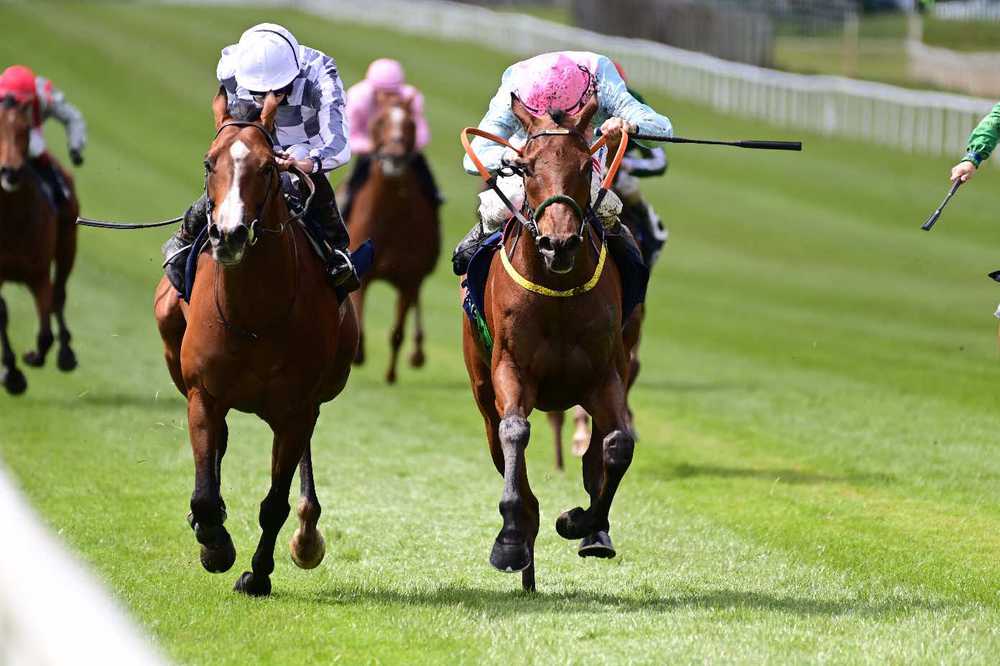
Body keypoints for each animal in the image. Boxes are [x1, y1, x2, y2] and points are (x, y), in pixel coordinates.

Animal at [0, 93, 78, 394]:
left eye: (24, 130)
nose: (10, 172)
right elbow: (2, 313)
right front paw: (12, 374)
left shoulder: (38, 273)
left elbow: (46, 332)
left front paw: (33, 356)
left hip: (68, 244)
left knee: (59, 295)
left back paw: (66, 353)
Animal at [152, 89, 360, 596]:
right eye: (209, 162)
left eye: (268, 167)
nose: (228, 235)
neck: (254, 315)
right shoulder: (203, 394)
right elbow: (205, 494)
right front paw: (215, 546)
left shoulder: (296, 409)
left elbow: (275, 503)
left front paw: (259, 571)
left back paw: (307, 535)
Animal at [348, 96, 438, 382]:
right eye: (378, 122)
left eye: (411, 124)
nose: (394, 157)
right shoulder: (363, 273)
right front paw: (359, 354)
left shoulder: (409, 277)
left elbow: (397, 332)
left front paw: (390, 373)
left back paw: (417, 353)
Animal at [462, 96, 640, 588]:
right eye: (525, 168)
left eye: (584, 165)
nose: (557, 244)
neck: (557, 293)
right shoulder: (511, 371)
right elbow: (515, 433)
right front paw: (509, 540)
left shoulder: (604, 376)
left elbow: (618, 447)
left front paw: (582, 523)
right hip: (482, 393)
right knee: (502, 444)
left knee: (598, 453)